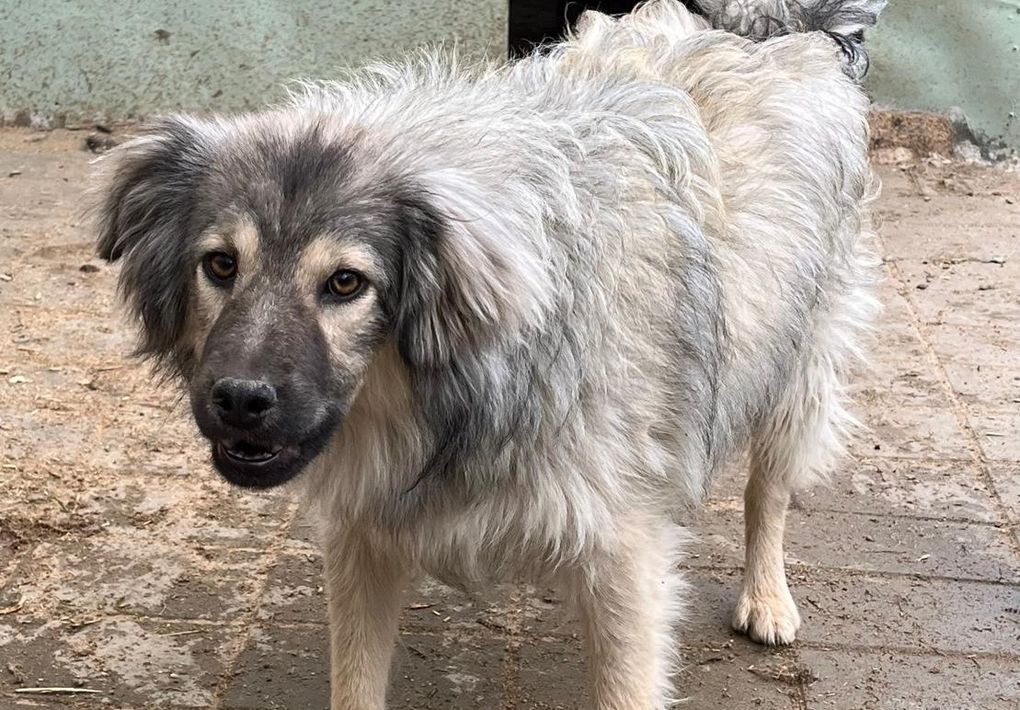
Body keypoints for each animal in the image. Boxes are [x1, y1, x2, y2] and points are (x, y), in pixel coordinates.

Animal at [92, 1, 885, 706]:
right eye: (221, 265)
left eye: (346, 282)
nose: (238, 399)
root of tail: (765, 28)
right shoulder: (362, 537)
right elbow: (354, 685)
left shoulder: (625, 558)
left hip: (795, 378)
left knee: (767, 492)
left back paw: (767, 597)